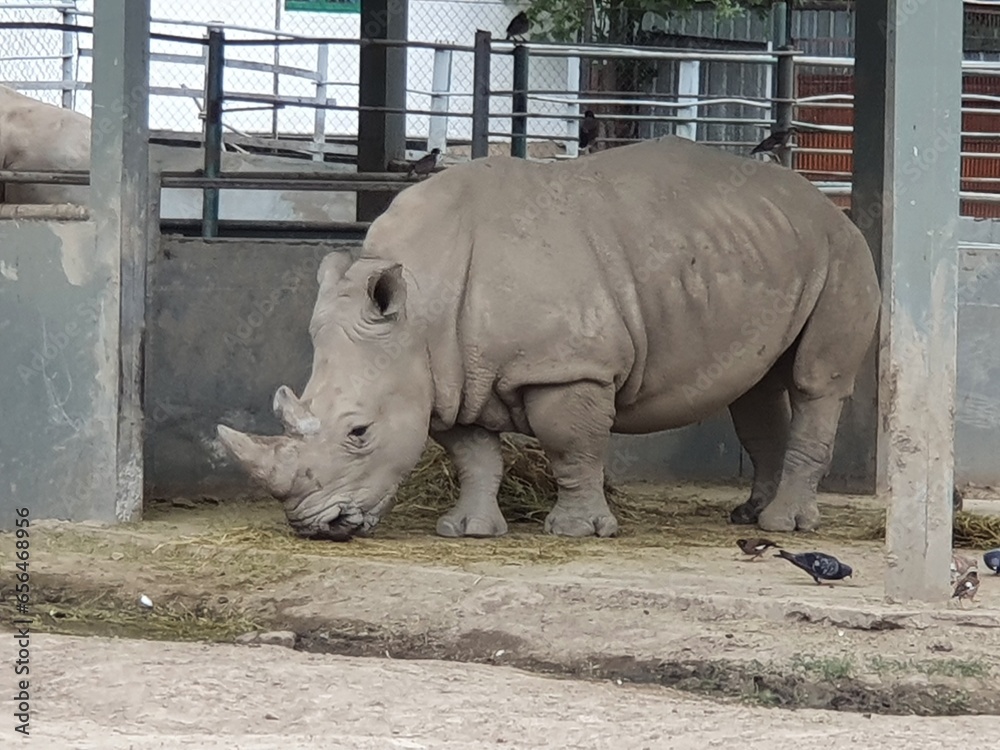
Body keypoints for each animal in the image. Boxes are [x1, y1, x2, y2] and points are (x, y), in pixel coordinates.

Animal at [216, 135, 881, 541]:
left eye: (358, 432)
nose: (314, 525)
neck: (420, 308)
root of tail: (827, 203)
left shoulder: (568, 367)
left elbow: (571, 446)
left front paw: (578, 532)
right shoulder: (447, 376)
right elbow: (473, 454)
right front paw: (469, 531)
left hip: (842, 253)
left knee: (815, 382)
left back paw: (784, 528)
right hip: (767, 249)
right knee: (757, 388)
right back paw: (748, 516)